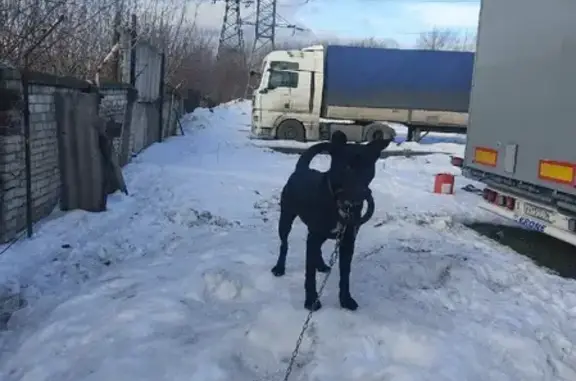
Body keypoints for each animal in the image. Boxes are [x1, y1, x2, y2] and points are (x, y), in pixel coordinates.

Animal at [272, 129, 394, 310]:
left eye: (368, 167)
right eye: (347, 167)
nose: (362, 193)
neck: (341, 203)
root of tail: (301, 169)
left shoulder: (347, 241)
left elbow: (345, 276)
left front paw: (346, 300)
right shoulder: (314, 235)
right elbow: (309, 275)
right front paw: (311, 300)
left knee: (316, 250)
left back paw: (321, 265)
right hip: (286, 218)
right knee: (284, 244)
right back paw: (279, 267)